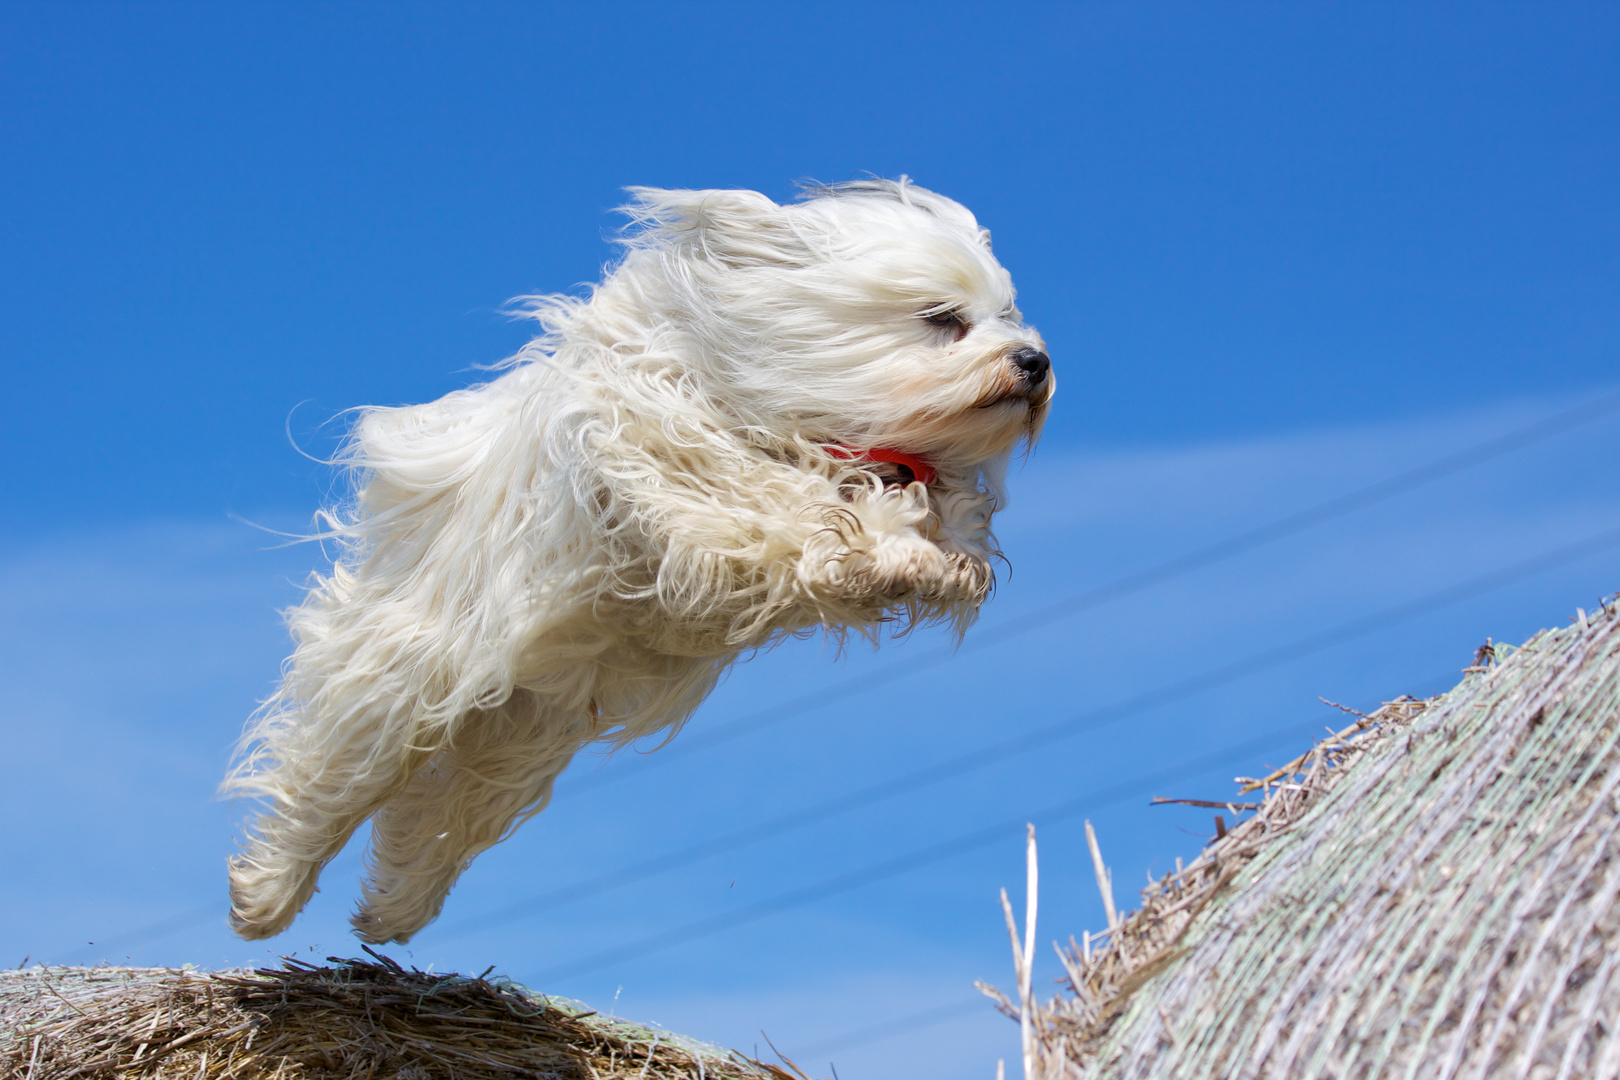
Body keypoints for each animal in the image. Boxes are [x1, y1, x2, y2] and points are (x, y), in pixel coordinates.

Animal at [225, 175, 1049, 939]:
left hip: (518, 730)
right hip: (412, 672)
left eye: (1007, 315)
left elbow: (936, 516)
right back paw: (264, 895)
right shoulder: (673, 461)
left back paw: (390, 909)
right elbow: (781, 503)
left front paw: (942, 555)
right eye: (942, 319)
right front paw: (887, 543)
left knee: (444, 812)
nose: (1034, 360)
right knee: (336, 775)